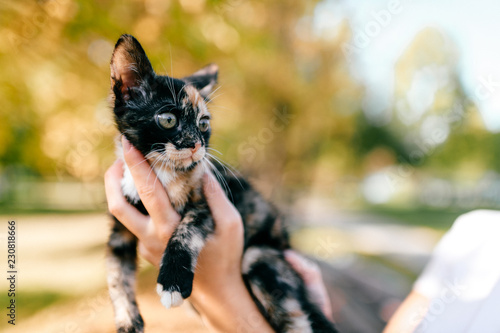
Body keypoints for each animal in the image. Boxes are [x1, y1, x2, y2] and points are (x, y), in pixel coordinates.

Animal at [107, 34, 338, 332]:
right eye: (168, 119)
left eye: (204, 123)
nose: (196, 144)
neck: (161, 171)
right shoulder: (120, 229)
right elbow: (116, 275)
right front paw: (127, 319)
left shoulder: (207, 205)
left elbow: (185, 233)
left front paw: (172, 281)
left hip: (261, 258)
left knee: (296, 320)